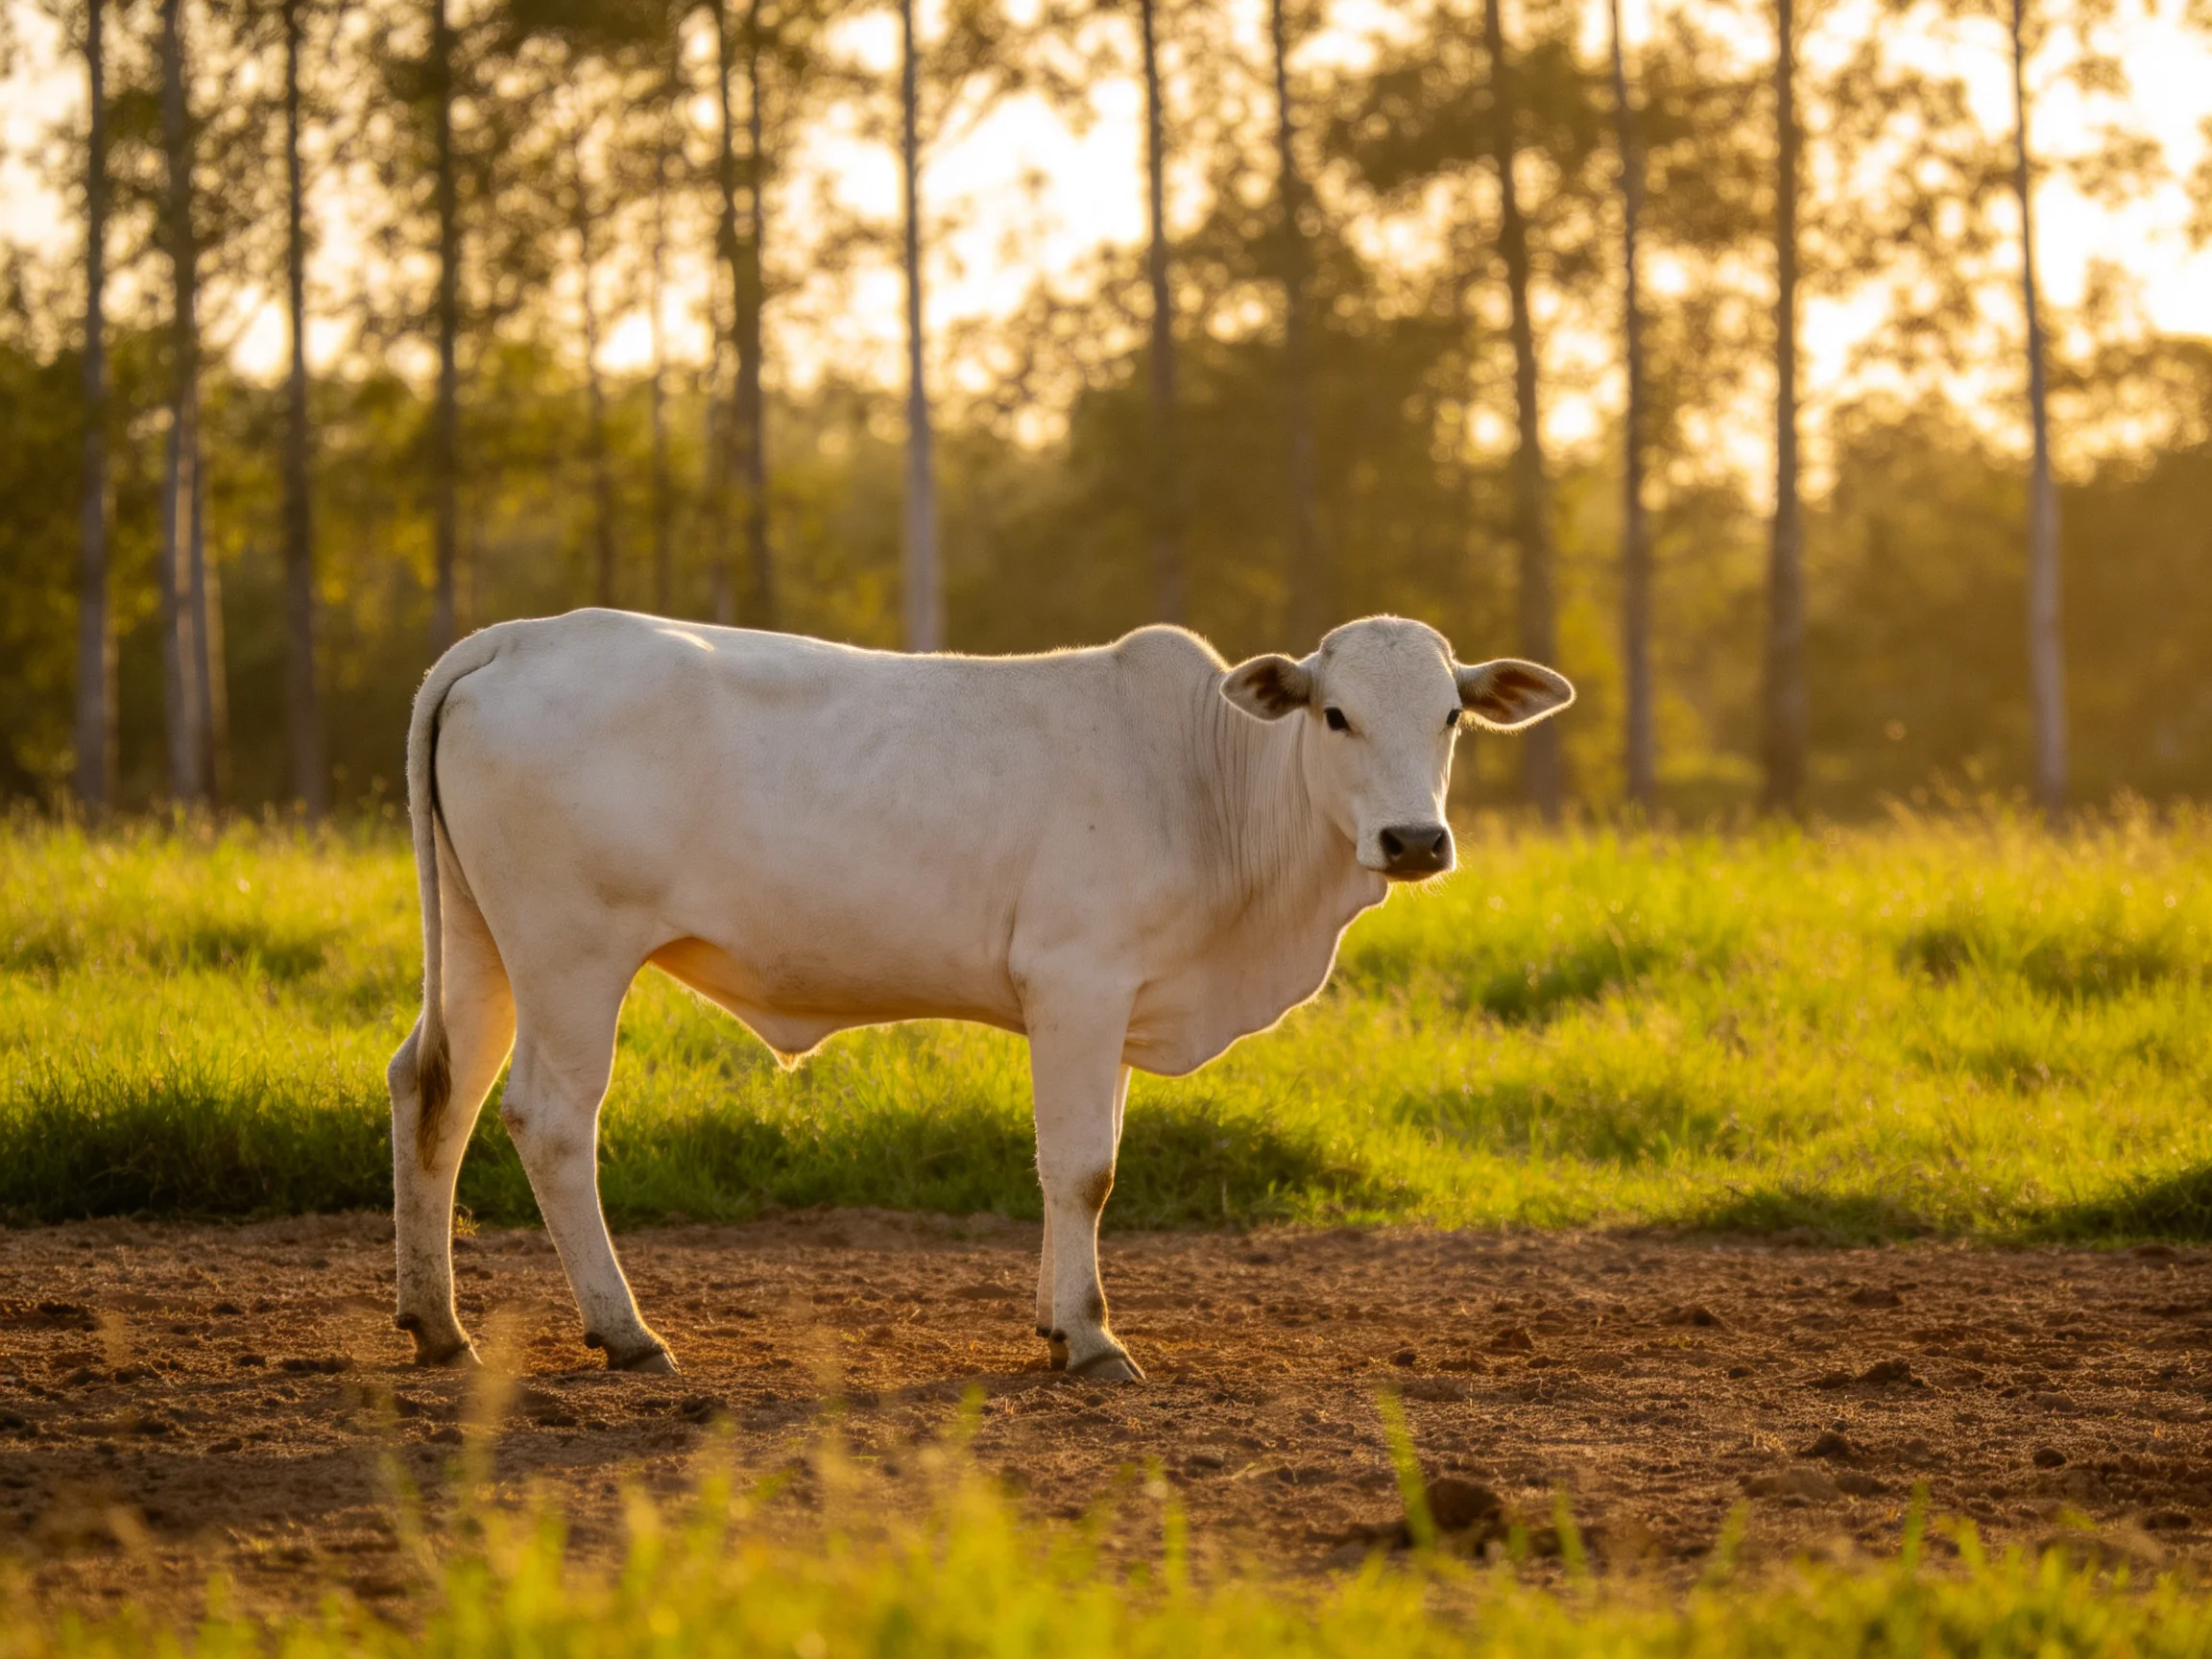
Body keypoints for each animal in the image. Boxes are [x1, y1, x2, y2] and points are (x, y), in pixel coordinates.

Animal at [387, 611, 1573, 1381]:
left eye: (1453, 716)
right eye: (1333, 715)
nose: (1414, 839)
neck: (1211, 790)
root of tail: (518, 636)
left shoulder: (1109, 1007)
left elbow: (1074, 1168)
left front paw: (1055, 1321)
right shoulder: (1079, 983)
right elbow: (1084, 1170)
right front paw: (1091, 1339)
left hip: (485, 948)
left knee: (432, 1091)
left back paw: (438, 1325)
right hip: (571, 954)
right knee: (550, 1119)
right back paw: (626, 1332)